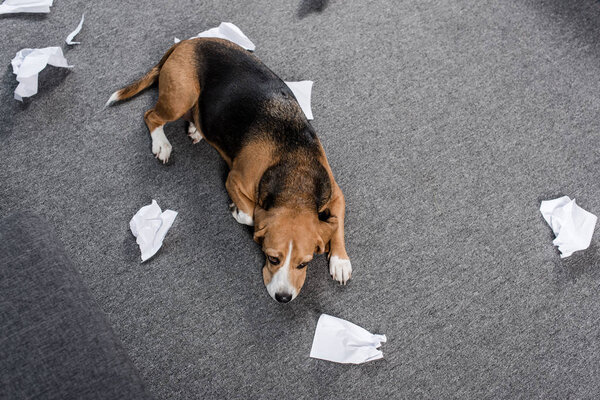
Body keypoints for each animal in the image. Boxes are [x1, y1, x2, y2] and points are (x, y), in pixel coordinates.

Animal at [108, 38, 352, 304]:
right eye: (272, 258)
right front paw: (238, 211)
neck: (296, 176)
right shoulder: (234, 180)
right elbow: (250, 215)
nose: (283, 298)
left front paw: (340, 260)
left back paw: (196, 128)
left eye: (304, 264)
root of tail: (189, 42)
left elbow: (337, 223)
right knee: (151, 116)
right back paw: (161, 143)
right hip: (181, 96)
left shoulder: (335, 193)